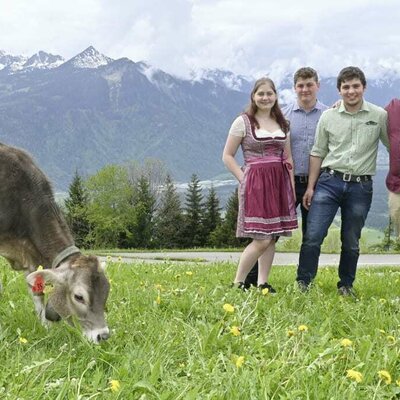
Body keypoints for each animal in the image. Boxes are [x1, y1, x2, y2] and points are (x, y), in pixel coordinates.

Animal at [0, 142, 109, 342]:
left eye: (106, 292)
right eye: (79, 297)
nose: (103, 335)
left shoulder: (32, 255)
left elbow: (37, 292)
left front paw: (46, 328)